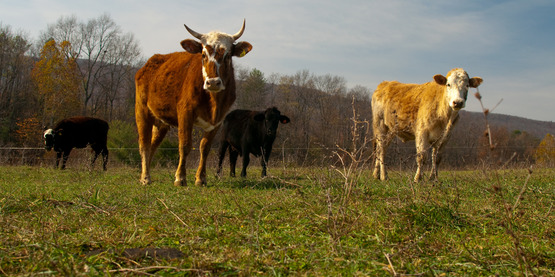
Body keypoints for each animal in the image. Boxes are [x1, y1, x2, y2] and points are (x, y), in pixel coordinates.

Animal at [136, 20, 253, 185]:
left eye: (228, 55)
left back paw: (143, 175)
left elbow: (205, 147)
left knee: (152, 145)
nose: (213, 82)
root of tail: (150, 62)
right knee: (144, 145)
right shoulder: (185, 113)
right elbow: (185, 145)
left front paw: (200, 178)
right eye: (203, 54)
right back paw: (146, 177)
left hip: (161, 122)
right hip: (142, 111)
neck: (213, 102)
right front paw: (180, 177)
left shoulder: (217, 121)